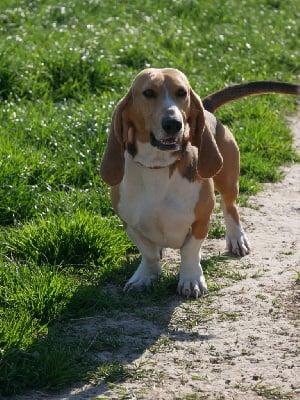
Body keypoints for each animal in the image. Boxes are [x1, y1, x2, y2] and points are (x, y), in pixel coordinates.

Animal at [99, 69, 298, 298]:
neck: (159, 166)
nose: (173, 123)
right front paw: (145, 276)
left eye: (181, 92)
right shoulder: (130, 222)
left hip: (228, 182)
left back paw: (237, 239)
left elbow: (190, 251)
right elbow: (148, 253)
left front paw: (191, 279)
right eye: (148, 93)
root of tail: (206, 106)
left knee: (230, 207)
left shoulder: (200, 220)